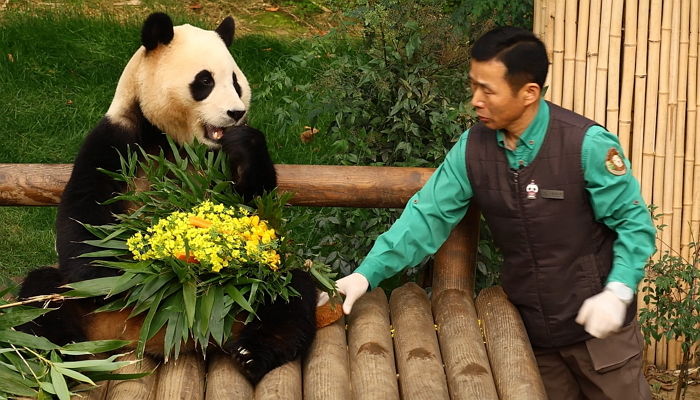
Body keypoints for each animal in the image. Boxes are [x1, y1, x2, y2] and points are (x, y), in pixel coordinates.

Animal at [17, 11, 318, 384]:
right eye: (204, 81)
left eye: (236, 82)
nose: (235, 113)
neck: (175, 140)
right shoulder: (117, 141)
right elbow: (85, 219)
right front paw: (135, 273)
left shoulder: (216, 162)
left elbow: (258, 206)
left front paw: (244, 142)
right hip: (80, 307)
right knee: (43, 296)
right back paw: (61, 361)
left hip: (249, 297)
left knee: (288, 291)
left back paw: (251, 355)